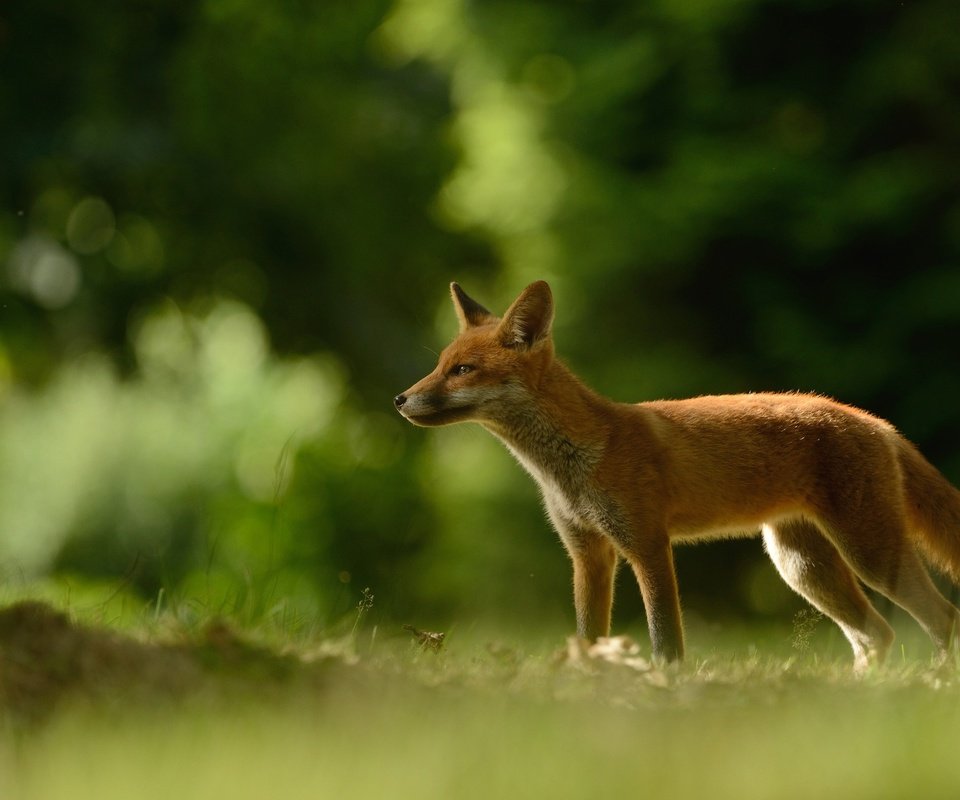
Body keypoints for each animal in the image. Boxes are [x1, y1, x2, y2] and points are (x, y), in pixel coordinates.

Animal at [392, 282, 960, 668]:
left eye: (463, 371)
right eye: (440, 364)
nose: (399, 399)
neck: (569, 466)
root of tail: (875, 421)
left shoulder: (646, 544)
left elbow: (666, 640)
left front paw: (664, 689)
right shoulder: (588, 555)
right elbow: (587, 638)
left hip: (869, 553)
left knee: (942, 618)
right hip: (801, 566)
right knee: (876, 635)